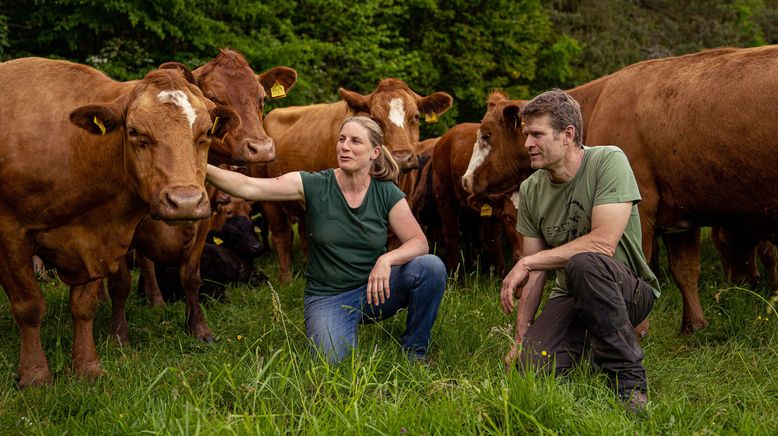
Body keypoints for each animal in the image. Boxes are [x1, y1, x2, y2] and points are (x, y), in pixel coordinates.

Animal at [0, 58, 236, 388]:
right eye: (135, 132)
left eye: (204, 134)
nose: (185, 201)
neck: (74, 150)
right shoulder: (10, 234)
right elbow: (30, 306)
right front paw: (35, 374)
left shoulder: (95, 240)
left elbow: (83, 306)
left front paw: (87, 366)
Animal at [106, 51, 294, 342]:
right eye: (214, 97)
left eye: (262, 98)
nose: (261, 148)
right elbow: (121, 281)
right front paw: (119, 334)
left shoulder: (203, 220)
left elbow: (191, 276)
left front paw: (198, 328)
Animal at [258, 78, 452, 282]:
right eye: (375, 118)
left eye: (415, 116)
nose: (402, 157)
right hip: (269, 199)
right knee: (280, 234)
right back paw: (286, 279)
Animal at [460, 46, 776, 332]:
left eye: (486, 135)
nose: (465, 179)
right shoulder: (681, 217)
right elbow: (685, 271)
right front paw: (693, 326)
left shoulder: (643, 208)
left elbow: (643, 264)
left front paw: (639, 331)